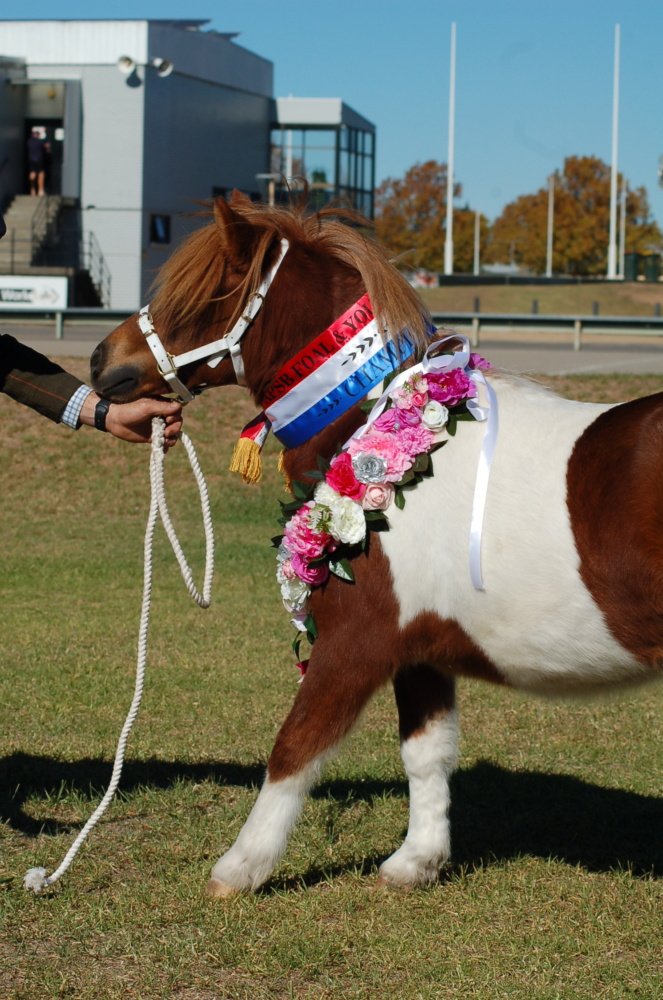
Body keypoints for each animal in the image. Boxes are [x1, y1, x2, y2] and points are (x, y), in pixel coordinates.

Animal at [90, 193, 663, 896]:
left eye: (200, 294)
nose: (100, 361)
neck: (381, 419)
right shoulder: (420, 650)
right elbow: (427, 753)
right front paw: (416, 861)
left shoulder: (356, 640)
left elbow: (296, 745)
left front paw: (239, 867)